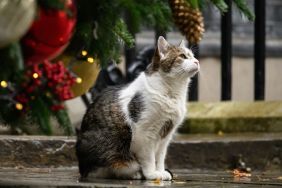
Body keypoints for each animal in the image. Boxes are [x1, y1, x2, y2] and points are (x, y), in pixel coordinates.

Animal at [75, 35, 198, 181]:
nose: (197, 61)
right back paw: (134, 173)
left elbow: (160, 157)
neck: (172, 92)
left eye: (193, 56)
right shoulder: (144, 133)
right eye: (183, 56)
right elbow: (149, 158)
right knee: (106, 169)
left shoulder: (166, 136)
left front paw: (161, 172)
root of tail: (81, 168)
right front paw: (152, 174)